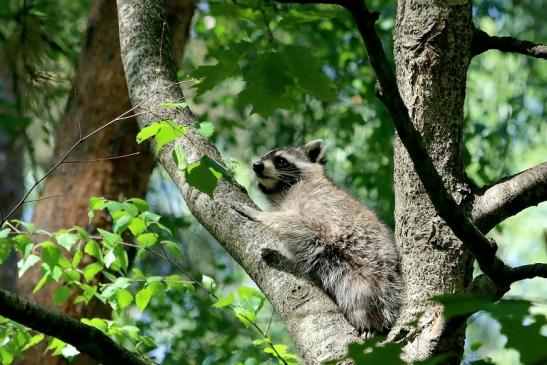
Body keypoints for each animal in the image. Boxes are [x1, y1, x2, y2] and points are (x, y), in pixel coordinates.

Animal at [231, 139, 402, 332]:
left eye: (281, 160)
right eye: (263, 157)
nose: (257, 165)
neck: (283, 188)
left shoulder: (319, 205)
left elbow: (307, 225)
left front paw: (260, 215)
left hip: (371, 277)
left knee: (360, 297)